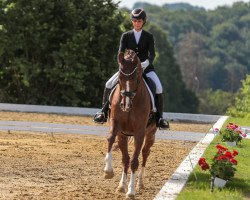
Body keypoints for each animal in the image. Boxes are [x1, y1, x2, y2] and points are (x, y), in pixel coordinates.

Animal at [103, 49, 157, 198]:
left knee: (144, 154)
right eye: (120, 78)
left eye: (136, 79)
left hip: (150, 134)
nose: (125, 105)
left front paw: (131, 191)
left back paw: (140, 183)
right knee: (125, 159)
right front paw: (108, 171)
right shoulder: (117, 126)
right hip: (123, 136)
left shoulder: (139, 133)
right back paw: (121, 185)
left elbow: (134, 162)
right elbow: (110, 139)